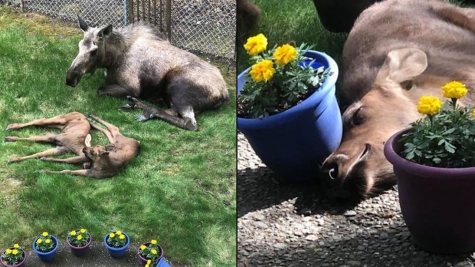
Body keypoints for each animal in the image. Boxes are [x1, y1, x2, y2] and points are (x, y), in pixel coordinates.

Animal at [5, 112, 139, 179]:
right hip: (61, 119)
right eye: (92, 152)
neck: (75, 146)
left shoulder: (60, 148)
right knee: (40, 120)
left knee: (41, 122)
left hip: (60, 125)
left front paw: (13, 158)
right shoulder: (57, 138)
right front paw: (10, 141)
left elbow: (38, 153)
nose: (86, 164)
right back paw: (11, 126)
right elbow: (33, 139)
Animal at [66, 16, 230, 132]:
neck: (112, 59)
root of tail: (224, 94)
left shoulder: (131, 87)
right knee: (173, 111)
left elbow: (100, 90)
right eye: (79, 45)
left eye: (94, 51)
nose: (70, 78)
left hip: (176, 85)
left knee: (190, 124)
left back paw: (145, 107)